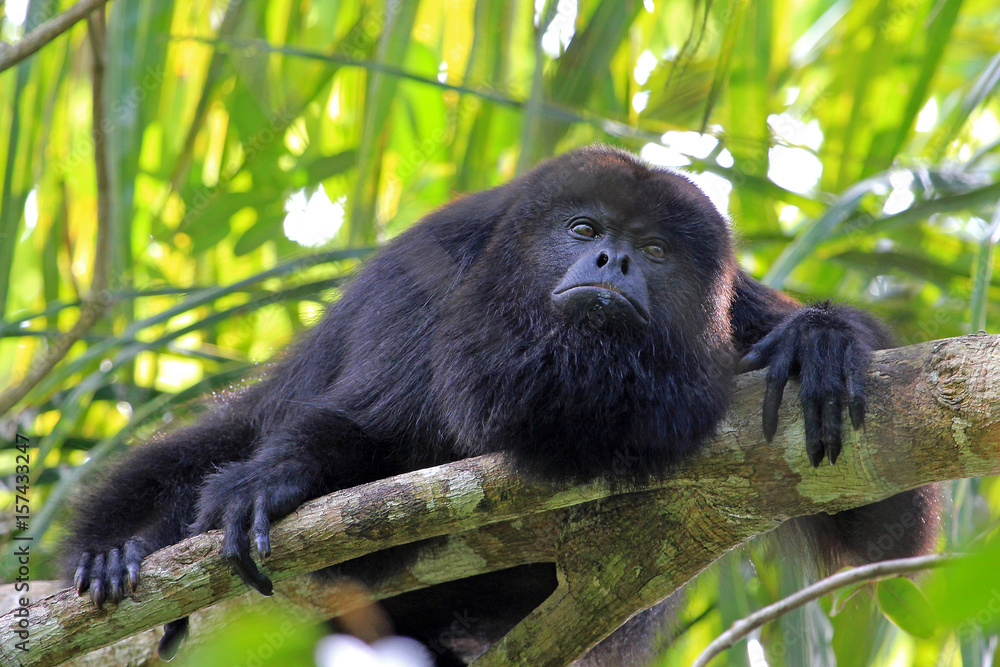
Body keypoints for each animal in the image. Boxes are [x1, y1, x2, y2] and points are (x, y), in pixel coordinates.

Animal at [62, 145, 939, 664]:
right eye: (582, 228)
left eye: (656, 250)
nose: (614, 259)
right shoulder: (429, 278)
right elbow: (361, 433)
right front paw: (272, 481)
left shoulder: (730, 318)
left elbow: (880, 517)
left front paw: (820, 339)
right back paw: (118, 550)